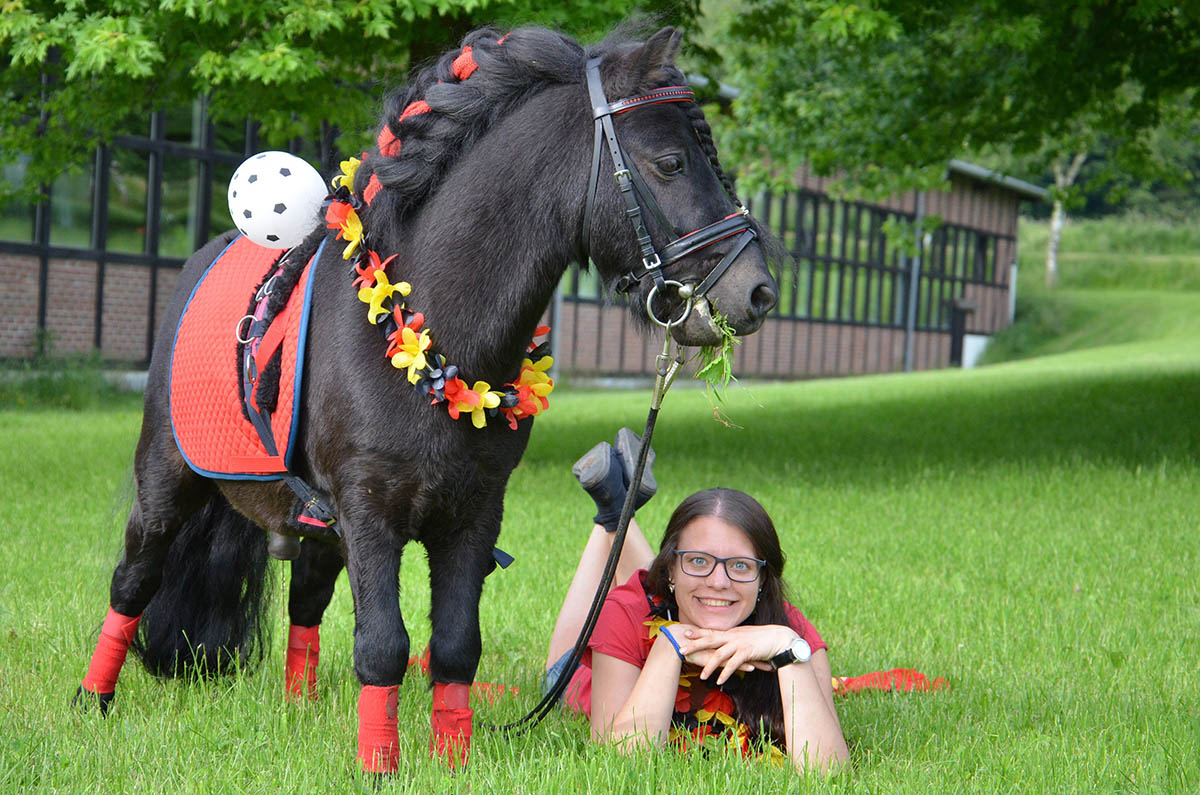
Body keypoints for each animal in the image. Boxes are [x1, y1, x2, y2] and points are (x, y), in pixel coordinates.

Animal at [79, 26, 782, 778]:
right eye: (671, 162)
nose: (758, 291)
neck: (434, 337)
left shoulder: (472, 515)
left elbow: (453, 645)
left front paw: (451, 758)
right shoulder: (370, 511)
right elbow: (384, 645)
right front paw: (379, 765)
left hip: (319, 526)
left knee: (306, 600)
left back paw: (299, 705)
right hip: (167, 482)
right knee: (133, 579)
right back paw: (93, 699)